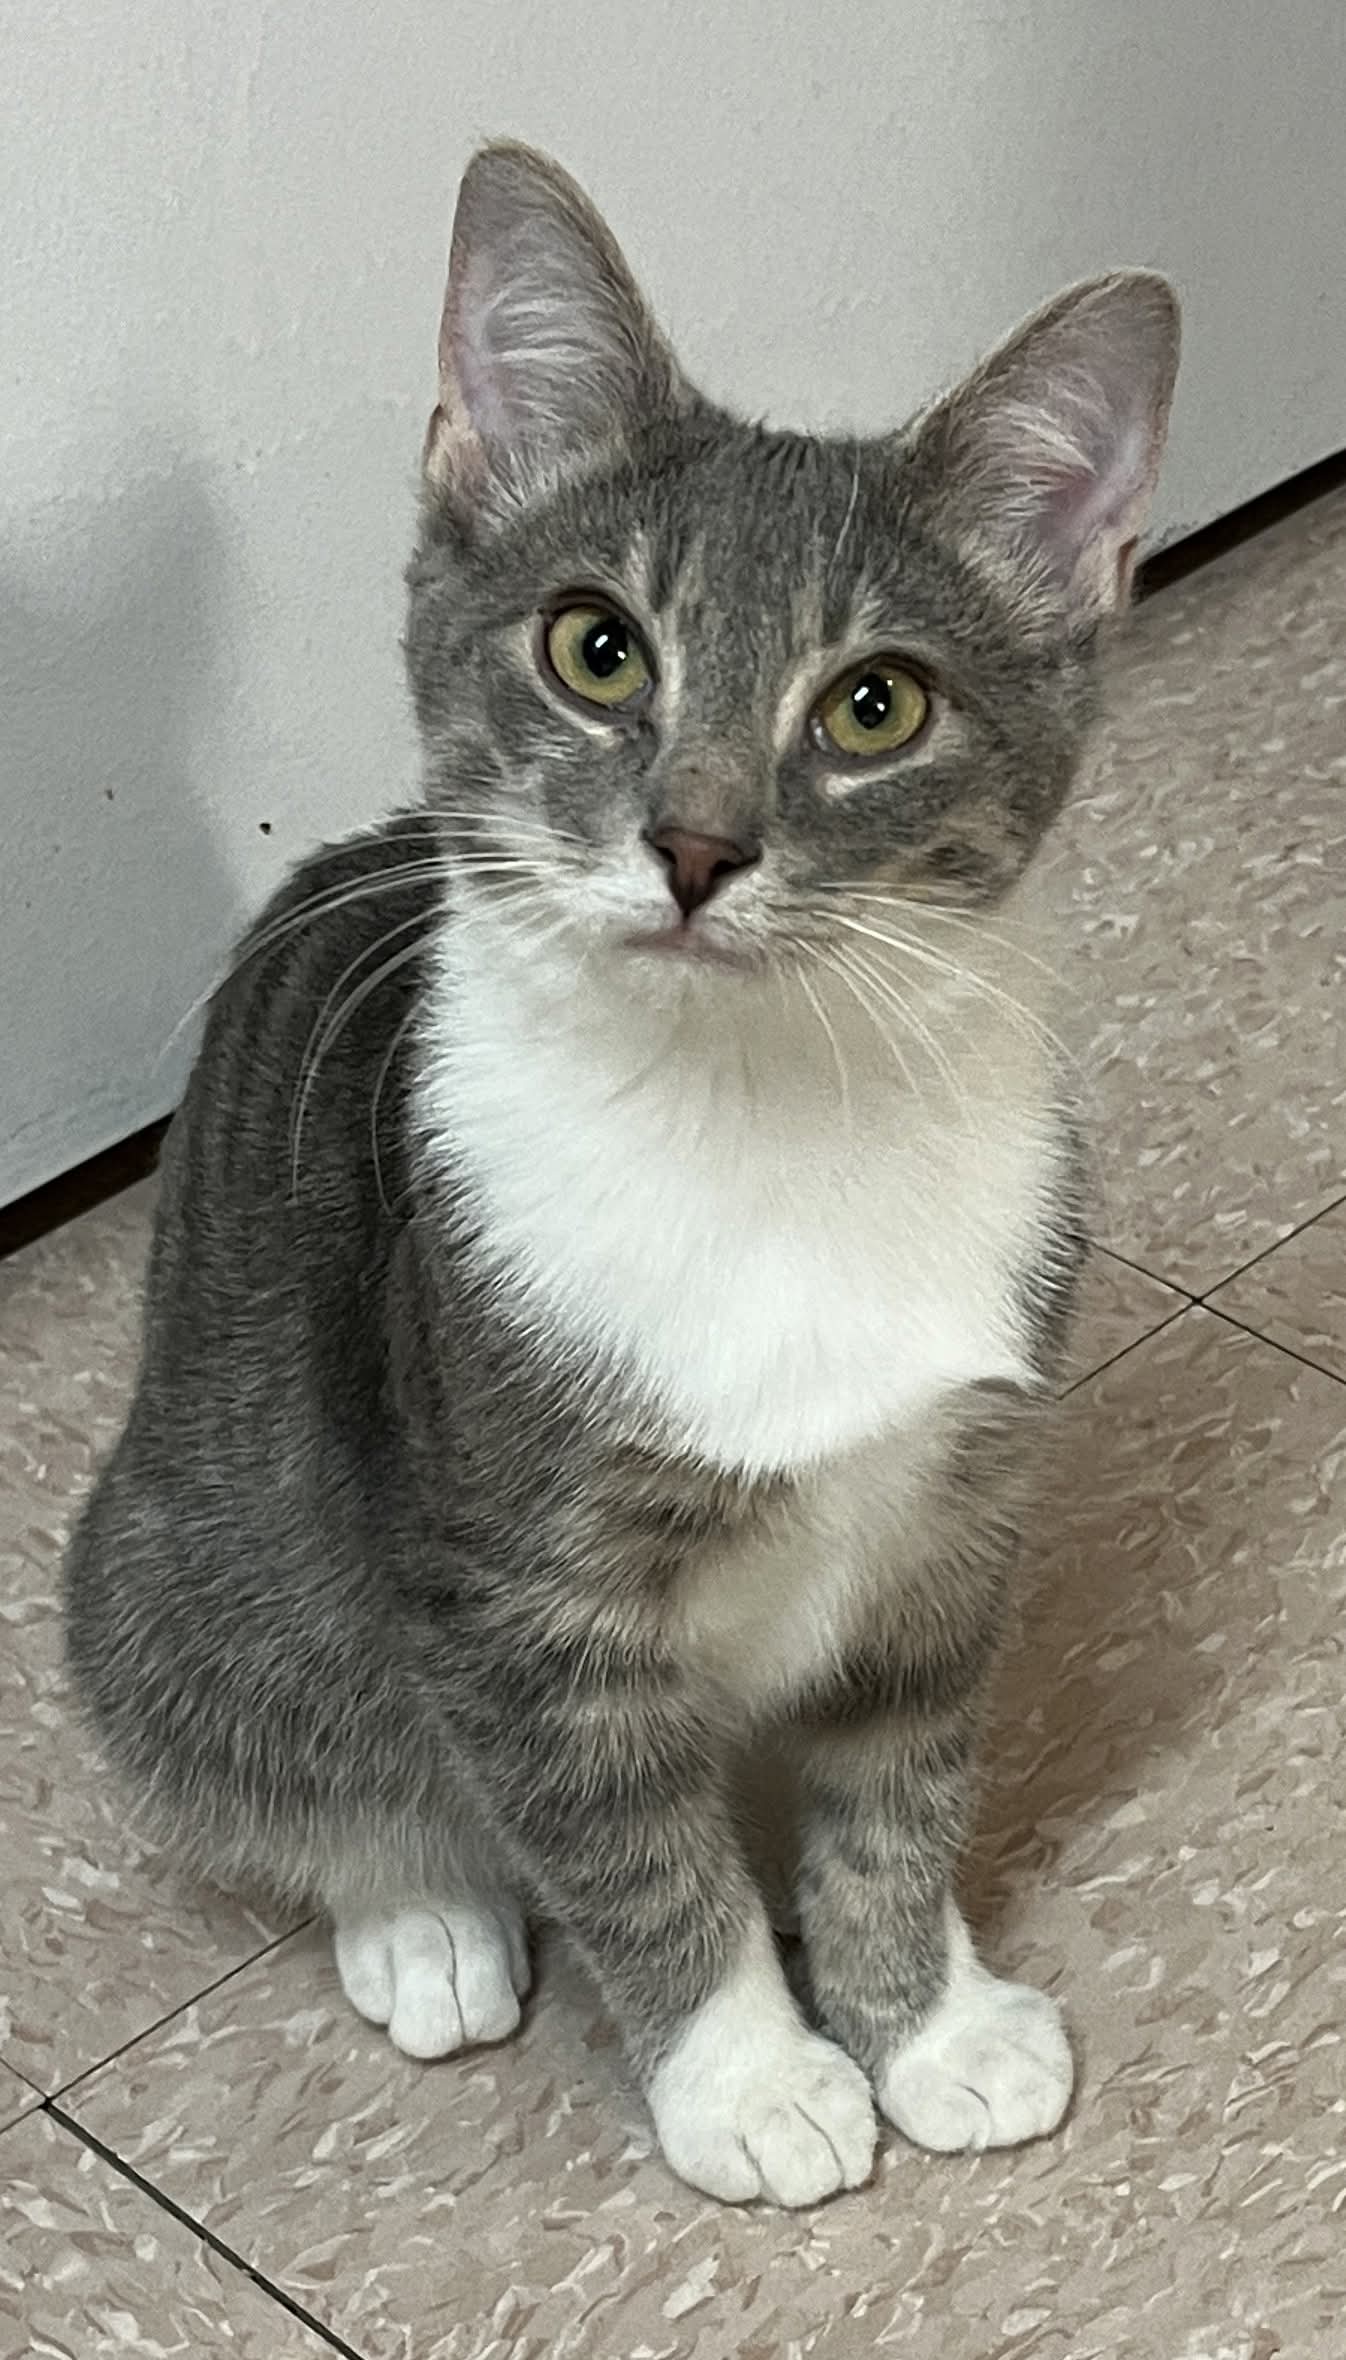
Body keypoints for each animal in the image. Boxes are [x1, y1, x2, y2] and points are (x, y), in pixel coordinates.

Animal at [64, 141, 1179, 2207]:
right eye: (598, 649)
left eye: (877, 704)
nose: (696, 844)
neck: (763, 1121)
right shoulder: (518, 1595)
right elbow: (631, 1859)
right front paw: (750, 2081)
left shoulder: (954, 1524)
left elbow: (904, 1782)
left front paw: (921, 2014)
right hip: (187, 1556)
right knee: (295, 1737)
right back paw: (421, 1917)